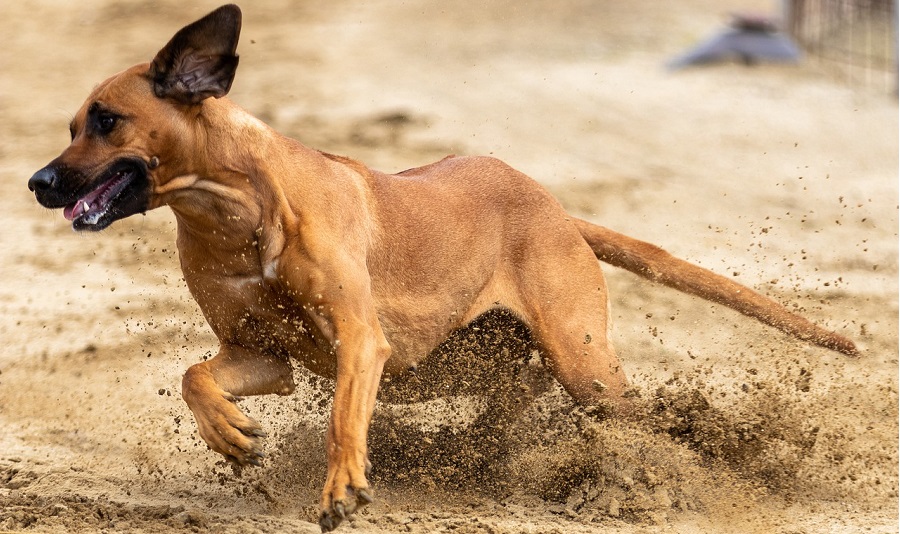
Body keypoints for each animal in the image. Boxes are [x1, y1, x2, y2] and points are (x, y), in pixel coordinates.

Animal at [28, 3, 856, 532]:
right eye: (69, 125)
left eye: (106, 121)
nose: (39, 182)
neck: (232, 212)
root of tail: (558, 211)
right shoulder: (261, 353)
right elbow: (194, 375)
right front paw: (230, 434)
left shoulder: (360, 339)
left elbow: (342, 418)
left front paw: (341, 488)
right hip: (473, 358)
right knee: (515, 395)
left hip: (583, 361)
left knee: (631, 409)